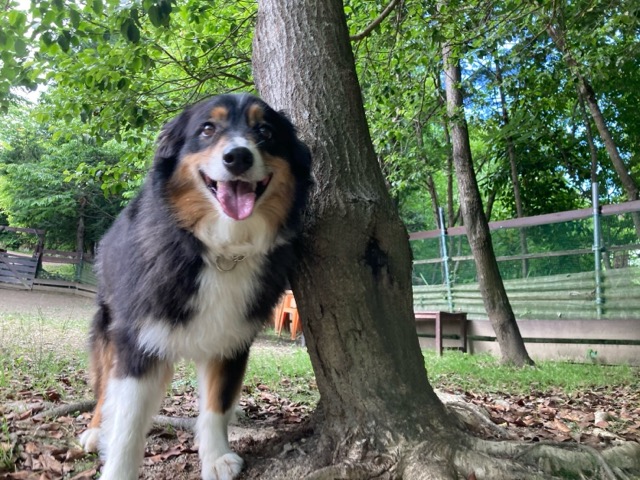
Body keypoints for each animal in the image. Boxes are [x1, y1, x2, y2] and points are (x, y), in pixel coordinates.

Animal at [78, 93, 312, 480]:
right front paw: (118, 469)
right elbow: (126, 420)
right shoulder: (137, 339)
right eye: (207, 129)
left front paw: (216, 456)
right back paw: (96, 430)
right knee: (103, 387)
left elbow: (217, 403)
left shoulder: (231, 340)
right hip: (107, 324)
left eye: (265, 131)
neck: (219, 248)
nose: (238, 157)